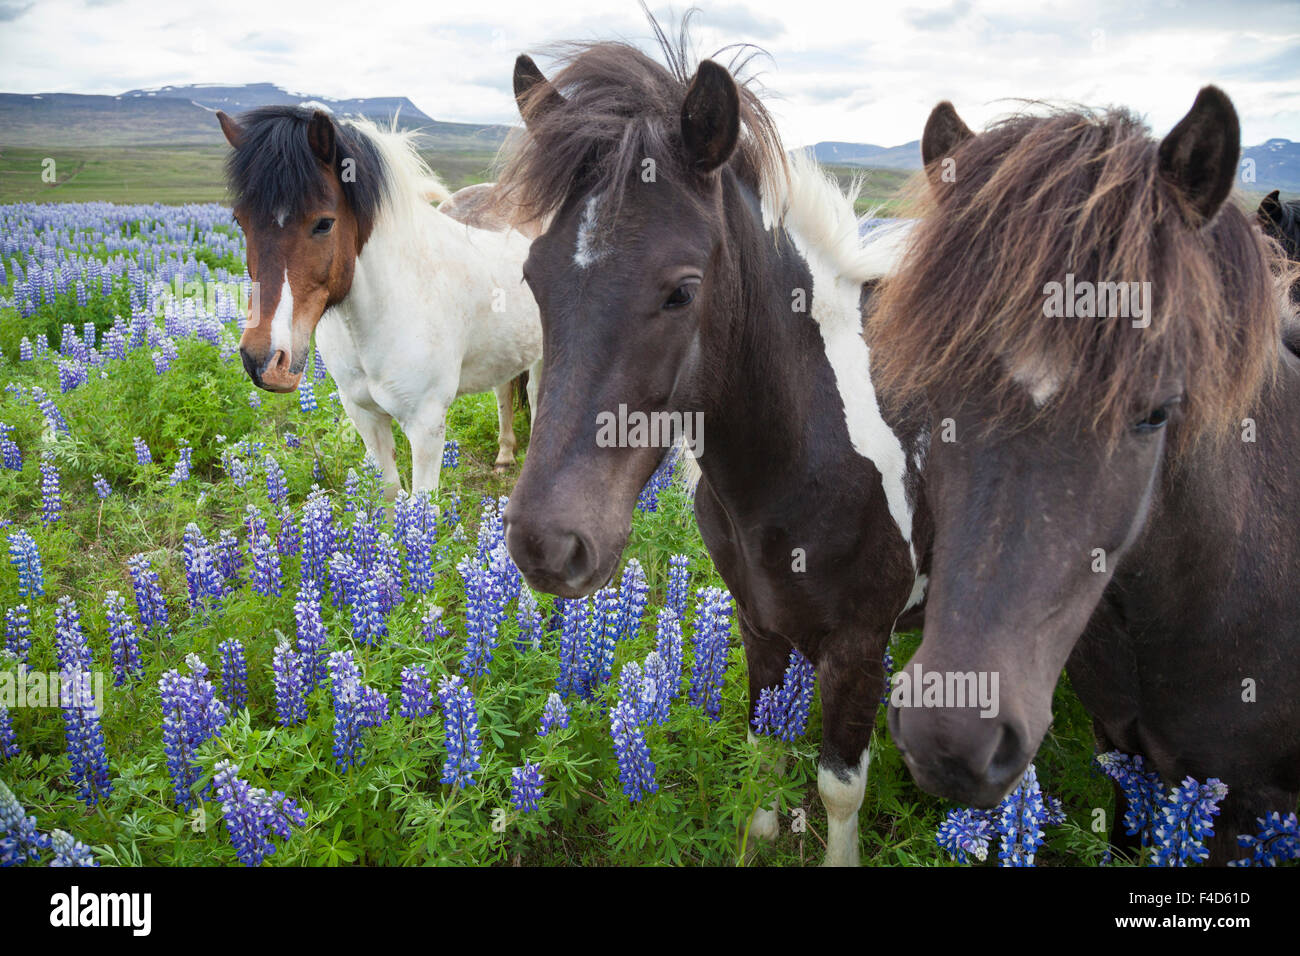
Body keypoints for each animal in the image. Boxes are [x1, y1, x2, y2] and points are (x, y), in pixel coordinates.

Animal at [220, 104, 546, 494]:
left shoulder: (426, 425)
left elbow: (422, 504)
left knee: (535, 395)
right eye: (240, 221)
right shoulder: (364, 415)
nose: (263, 360)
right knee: (504, 392)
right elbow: (390, 496)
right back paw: (505, 455)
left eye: (324, 223)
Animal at [491, 29, 930, 868]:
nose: (545, 544)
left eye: (682, 291)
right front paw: (756, 829)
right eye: (531, 277)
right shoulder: (758, 619)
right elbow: (762, 749)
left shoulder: (860, 644)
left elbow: (838, 788)